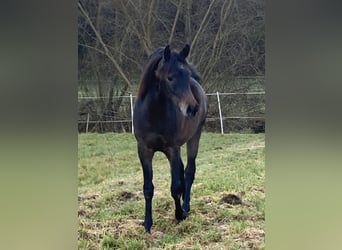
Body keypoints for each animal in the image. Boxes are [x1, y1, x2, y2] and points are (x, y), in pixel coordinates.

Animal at [133, 44, 208, 232]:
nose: (192, 108)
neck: (154, 113)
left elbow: (175, 186)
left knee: (188, 172)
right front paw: (147, 224)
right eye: (170, 77)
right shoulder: (144, 150)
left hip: (194, 137)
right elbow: (148, 188)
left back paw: (186, 206)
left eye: (187, 75)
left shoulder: (172, 149)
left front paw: (179, 214)